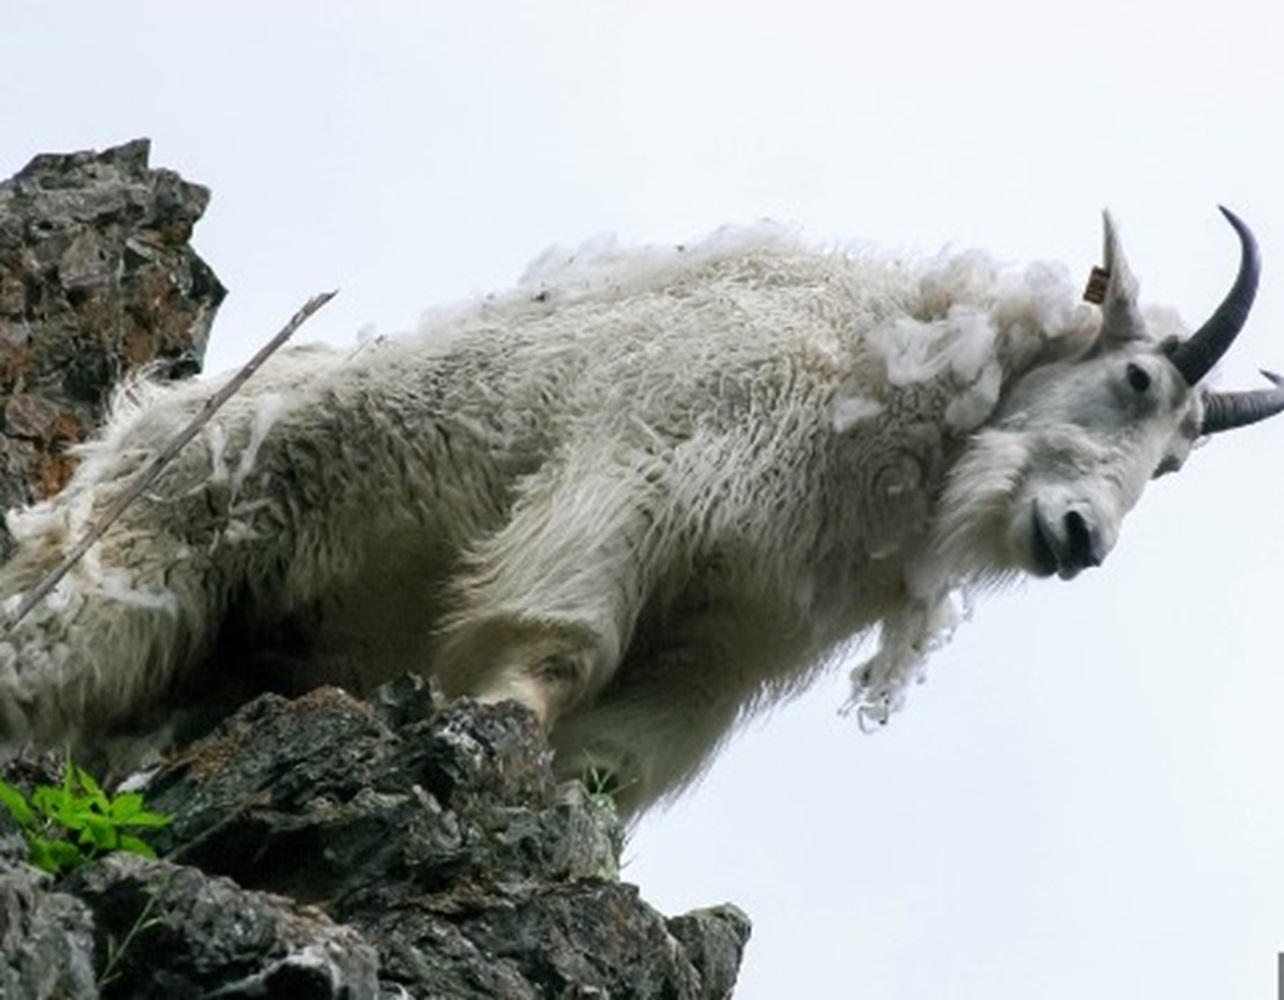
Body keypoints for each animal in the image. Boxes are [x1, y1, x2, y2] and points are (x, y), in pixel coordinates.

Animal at [2, 209, 1284, 811]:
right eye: (1136, 378)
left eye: (1176, 462)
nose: (1080, 541)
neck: (881, 379)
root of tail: (133, 426)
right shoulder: (630, 478)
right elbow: (554, 652)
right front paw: (492, 730)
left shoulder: (727, 641)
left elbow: (616, 767)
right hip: (140, 556)